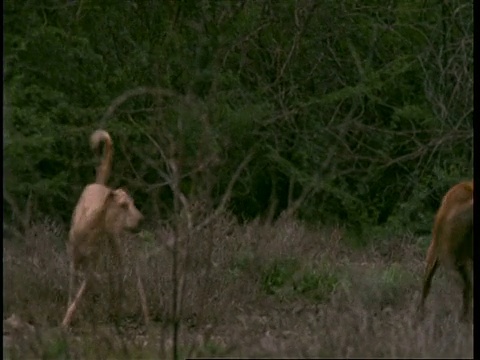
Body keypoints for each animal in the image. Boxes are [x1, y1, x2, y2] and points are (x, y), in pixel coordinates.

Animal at [61, 130, 142, 330]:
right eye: (123, 205)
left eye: (133, 203)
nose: (141, 220)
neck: (90, 228)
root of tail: (100, 184)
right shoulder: (73, 263)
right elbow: (73, 294)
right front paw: (69, 318)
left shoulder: (90, 271)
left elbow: (79, 296)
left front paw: (68, 319)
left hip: (115, 242)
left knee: (120, 270)